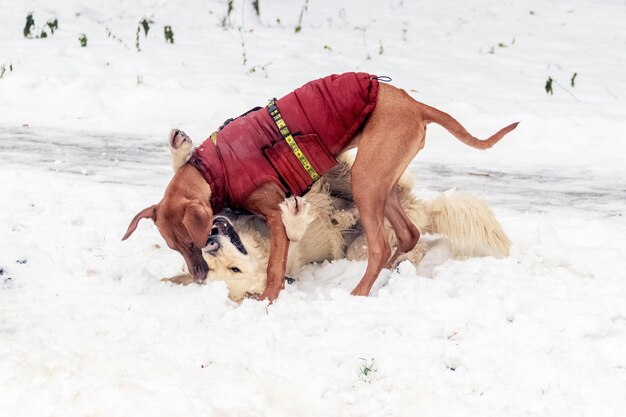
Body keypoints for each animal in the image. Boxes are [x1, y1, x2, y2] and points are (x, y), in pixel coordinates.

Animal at [122, 71, 516, 300]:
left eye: (194, 243)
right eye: (174, 247)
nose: (199, 274)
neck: (213, 169)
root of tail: (415, 104)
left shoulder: (275, 216)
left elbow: (276, 265)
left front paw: (268, 298)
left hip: (366, 180)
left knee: (380, 246)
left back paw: (359, 292)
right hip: (380, 182)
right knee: (407, 235)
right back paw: (390, 272)